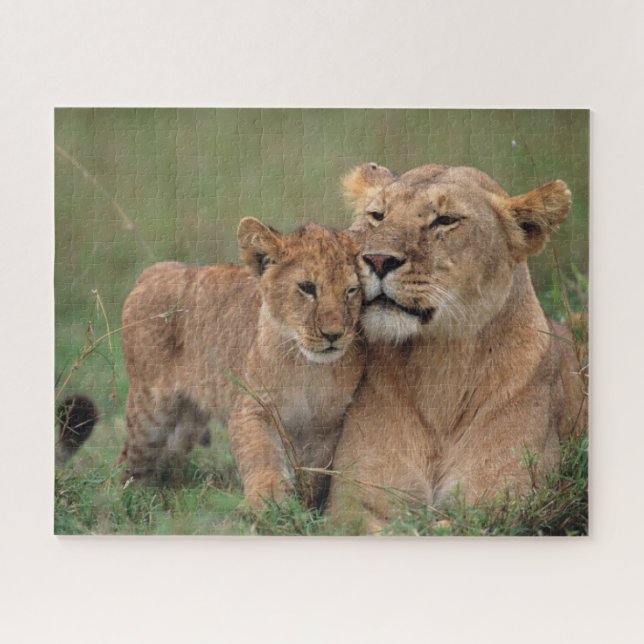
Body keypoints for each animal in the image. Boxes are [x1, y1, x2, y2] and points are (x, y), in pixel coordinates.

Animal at [119, 217, 365, 508]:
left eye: (351, 290)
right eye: (307, 287)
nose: (333, 335)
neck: (309, 367)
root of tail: (153, 271)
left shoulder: (328, 426)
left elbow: (314, 473)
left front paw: (303, 504)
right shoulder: (253, 407)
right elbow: (261, 454)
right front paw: (268, 500)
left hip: (189, 421)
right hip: (149, 411)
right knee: (130, 460)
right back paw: (126, 497)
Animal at [327, 163, 587, 531]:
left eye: (445, 220)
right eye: (377, 216)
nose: (376, 259)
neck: (440, 363)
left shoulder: (507, 500)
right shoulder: (353, 502)